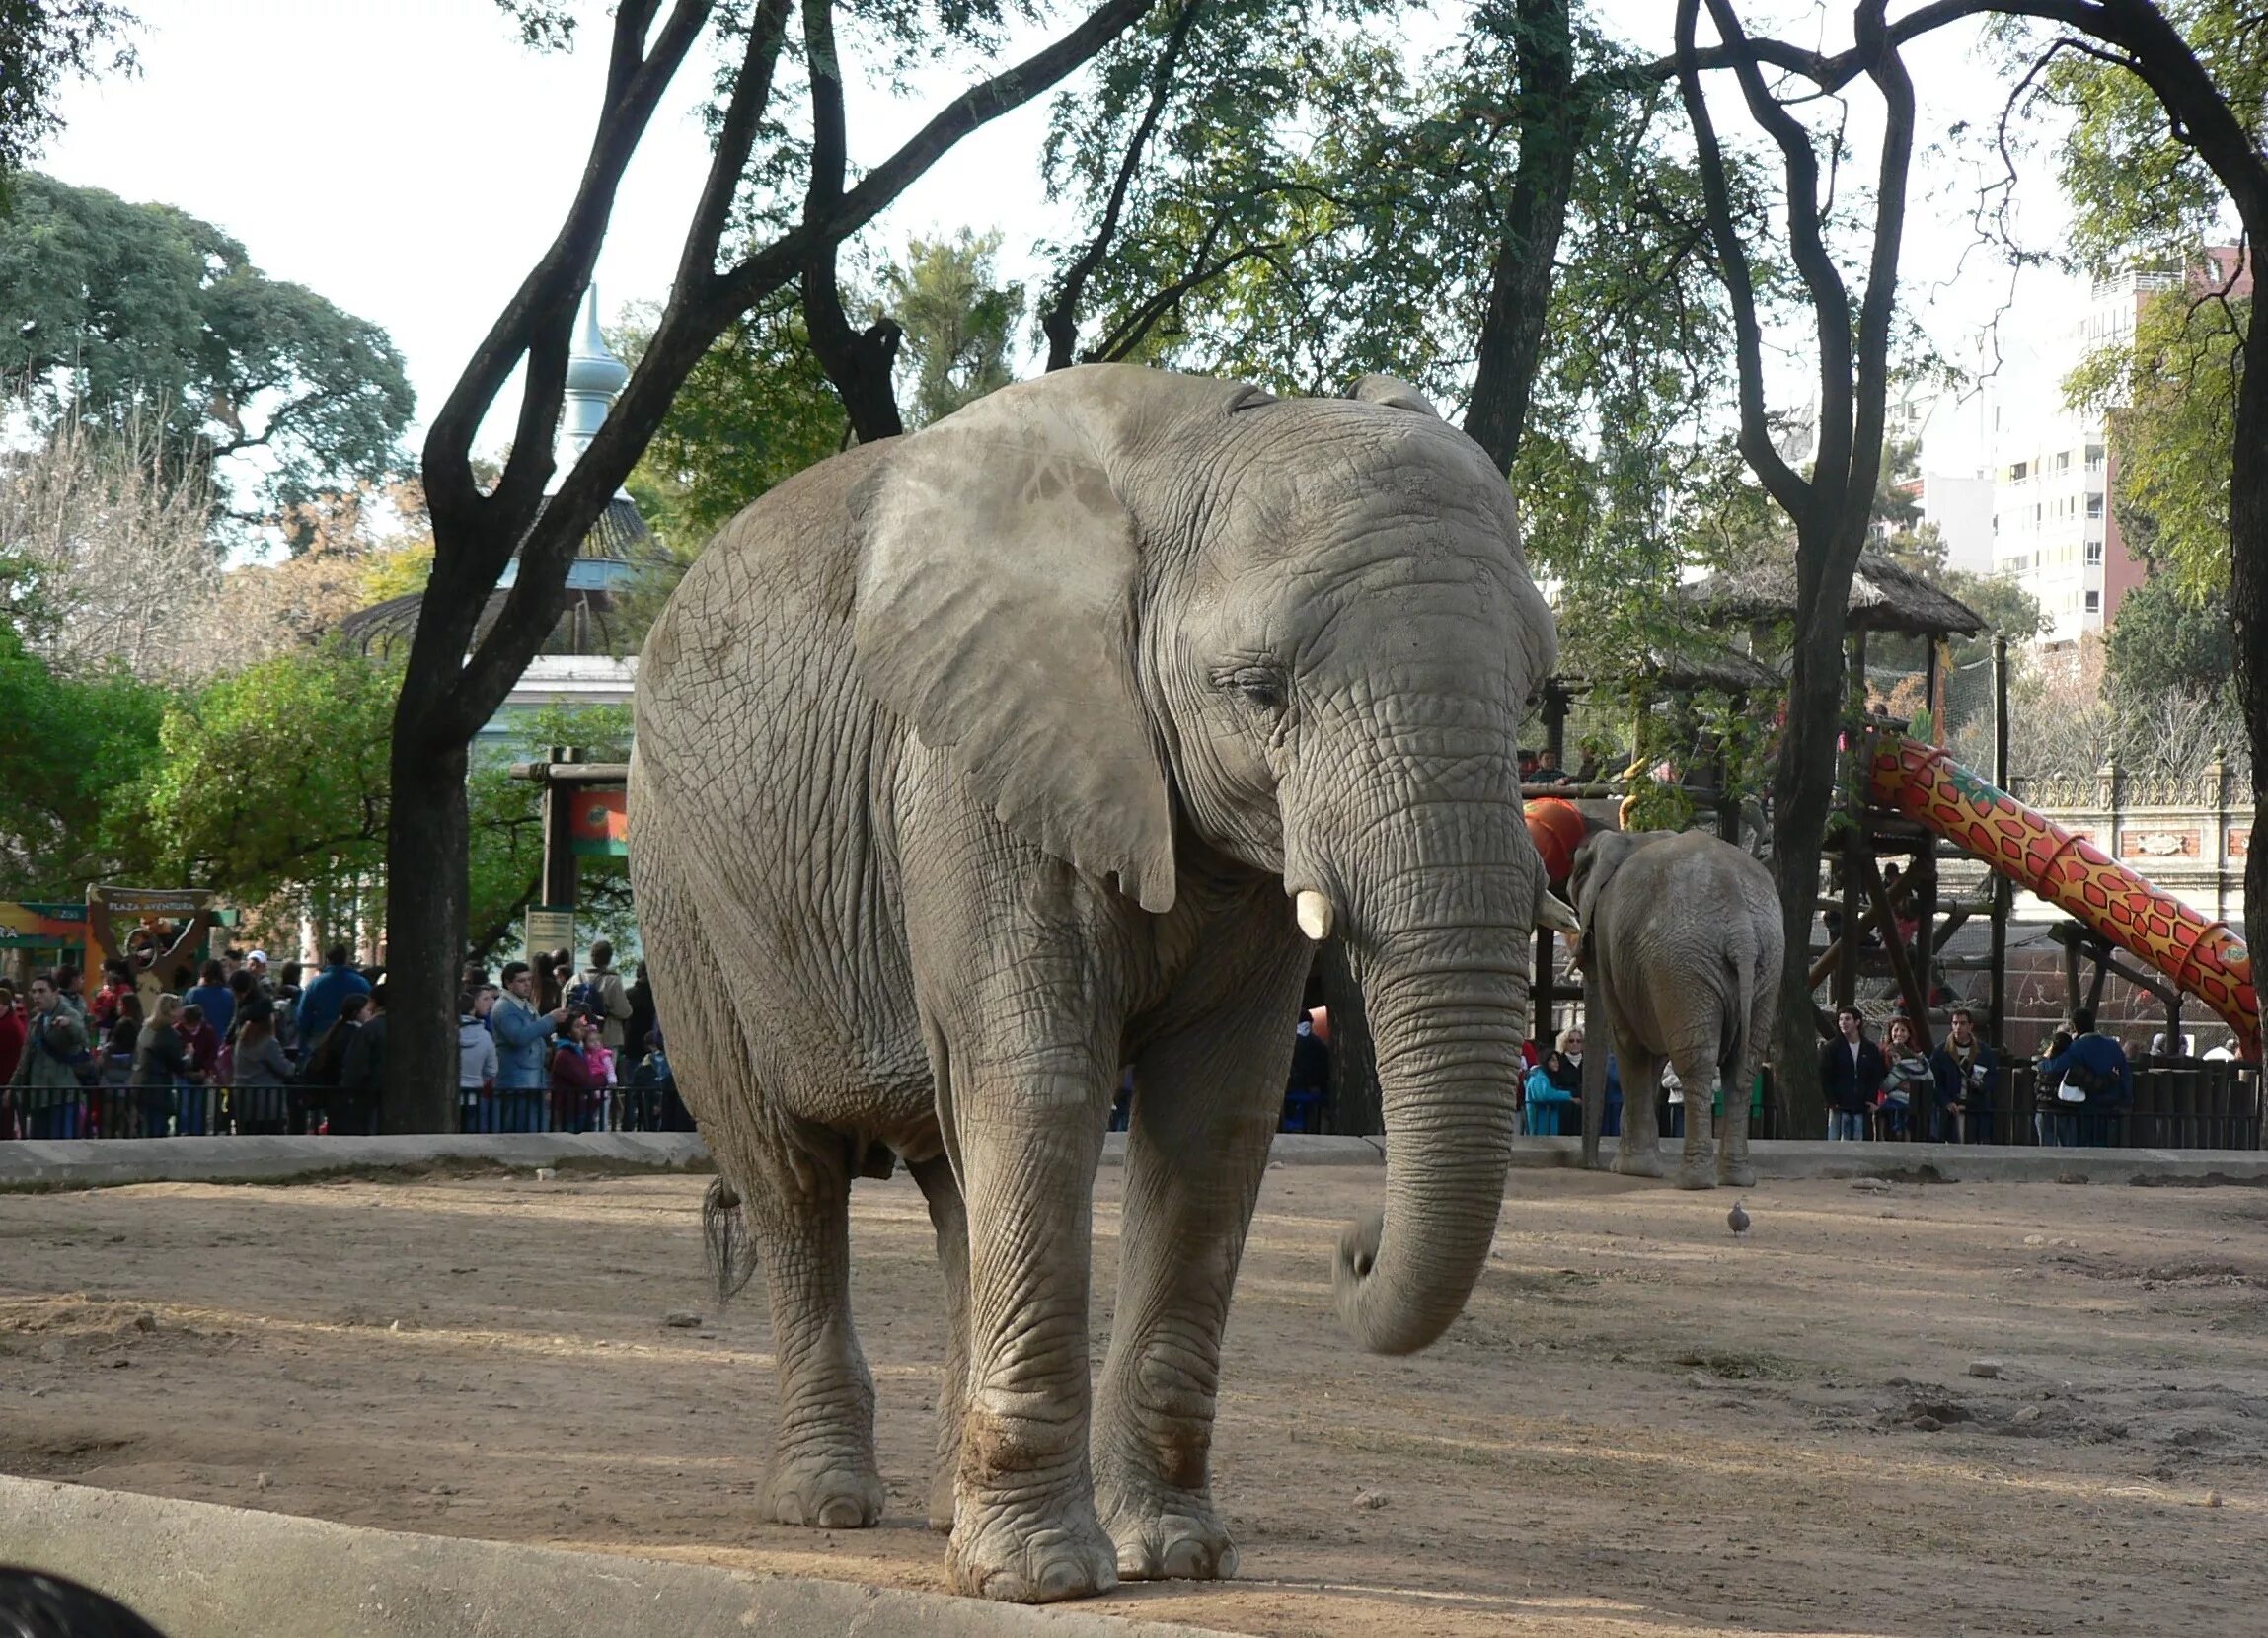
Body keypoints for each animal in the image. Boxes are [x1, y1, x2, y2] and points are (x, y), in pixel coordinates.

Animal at [630, 362, 1569, 1597]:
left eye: (1533, 694)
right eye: (1259, 692)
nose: (1354, 1245)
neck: (1189, 455)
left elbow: (1215, 1117)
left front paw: (1176, 1555)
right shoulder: (978, 768)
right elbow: (1045, 1082)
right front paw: (1041, 1581)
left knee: (954, 1180)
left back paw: (941, 1509)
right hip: (680, 889)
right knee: (790, 1178)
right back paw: (825, 1505)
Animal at [1569, 830, 1777, 1188]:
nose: (1590, 1166)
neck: (1627, 838)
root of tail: (1740, 928)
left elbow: (1628, 1041)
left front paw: (1632, 1170)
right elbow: (1654, 1052)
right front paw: (1639, 1166)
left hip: (1682, 962)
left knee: (1696, 1062)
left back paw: (1694, 1179)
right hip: (1761, 962)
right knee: (1744, 1064)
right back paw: (1737, 1178)